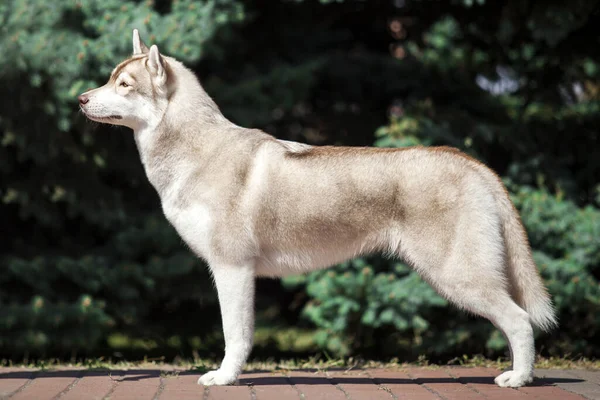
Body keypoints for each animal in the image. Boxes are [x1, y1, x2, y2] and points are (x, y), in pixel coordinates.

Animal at [79, 30, 556, 388]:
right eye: (109, 78)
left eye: (124, 85)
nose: (81, 99)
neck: (193, 151)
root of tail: (473, 163)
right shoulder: (234, 270)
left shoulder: (232, 268)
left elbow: (236, 334)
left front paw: (225, 378)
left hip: (458, 276)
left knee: (519, 321)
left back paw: (519, 378)